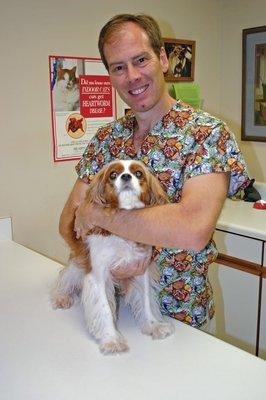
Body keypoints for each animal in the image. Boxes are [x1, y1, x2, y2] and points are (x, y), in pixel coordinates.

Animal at [51, 159, 175, 354]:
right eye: (113, 175)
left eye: (138, 173)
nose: (126, 176)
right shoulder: (97, 276)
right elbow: (105, 309)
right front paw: (111, 339)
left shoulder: (140, 270)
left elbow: (146, 301)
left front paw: (153, 326)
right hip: (78, 266)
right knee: (64, 277)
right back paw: (61, 296)